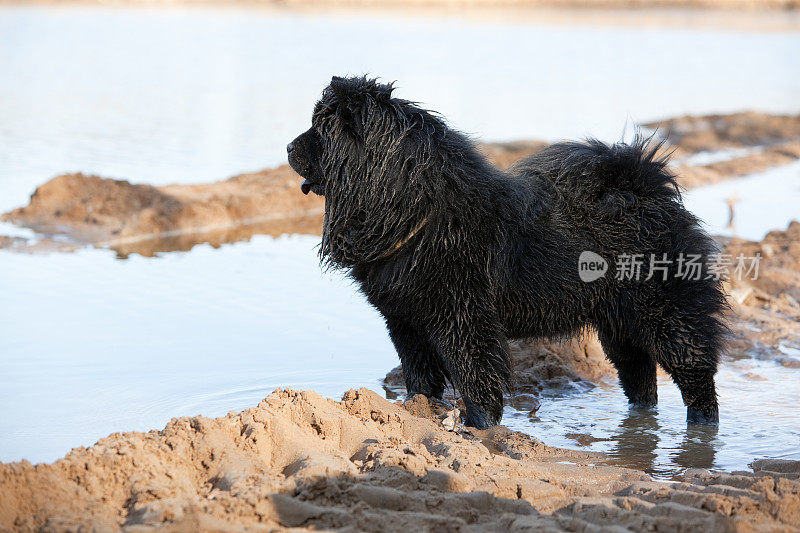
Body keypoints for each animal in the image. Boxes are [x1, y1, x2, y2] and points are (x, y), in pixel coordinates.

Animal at [288, 76, 724, 428]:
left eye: (321, 128)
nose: (289, 145)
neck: (414, 210)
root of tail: (648, 190)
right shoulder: (405, 321)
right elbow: (421, 376)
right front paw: (416, 410)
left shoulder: (463, 318)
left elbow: (477, 376)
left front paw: (479, 425)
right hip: (619, 325)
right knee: (640, 377)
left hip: (670, 316)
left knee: (695, 373)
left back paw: (702, 426)